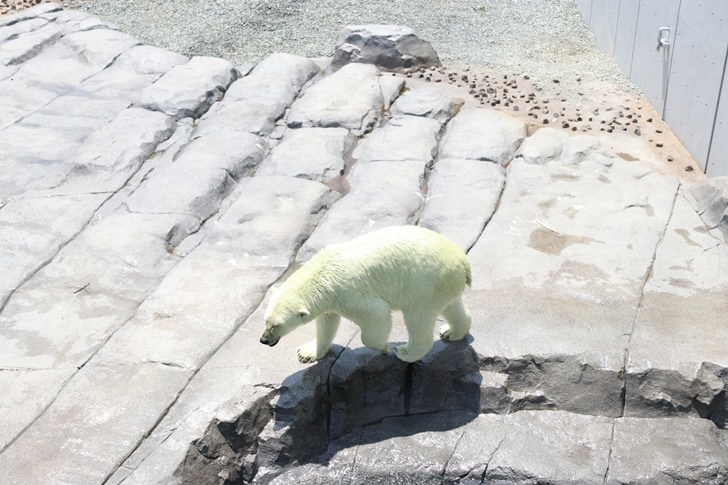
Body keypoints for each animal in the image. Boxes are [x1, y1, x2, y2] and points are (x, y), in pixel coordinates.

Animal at [260, 225, 472, 362]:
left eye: (277, 325)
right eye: (266, 320)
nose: (264, 340)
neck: (323, 273)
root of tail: (463, 261)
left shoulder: (348, 293)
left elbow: (377, 314)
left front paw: (382, 347)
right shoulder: (330, 300)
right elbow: (327, 323)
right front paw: (307, 352)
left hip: (425, 284)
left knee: (418, 318)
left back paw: (405, 352)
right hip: (444, 283)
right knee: (451, 306)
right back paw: (451, 331)